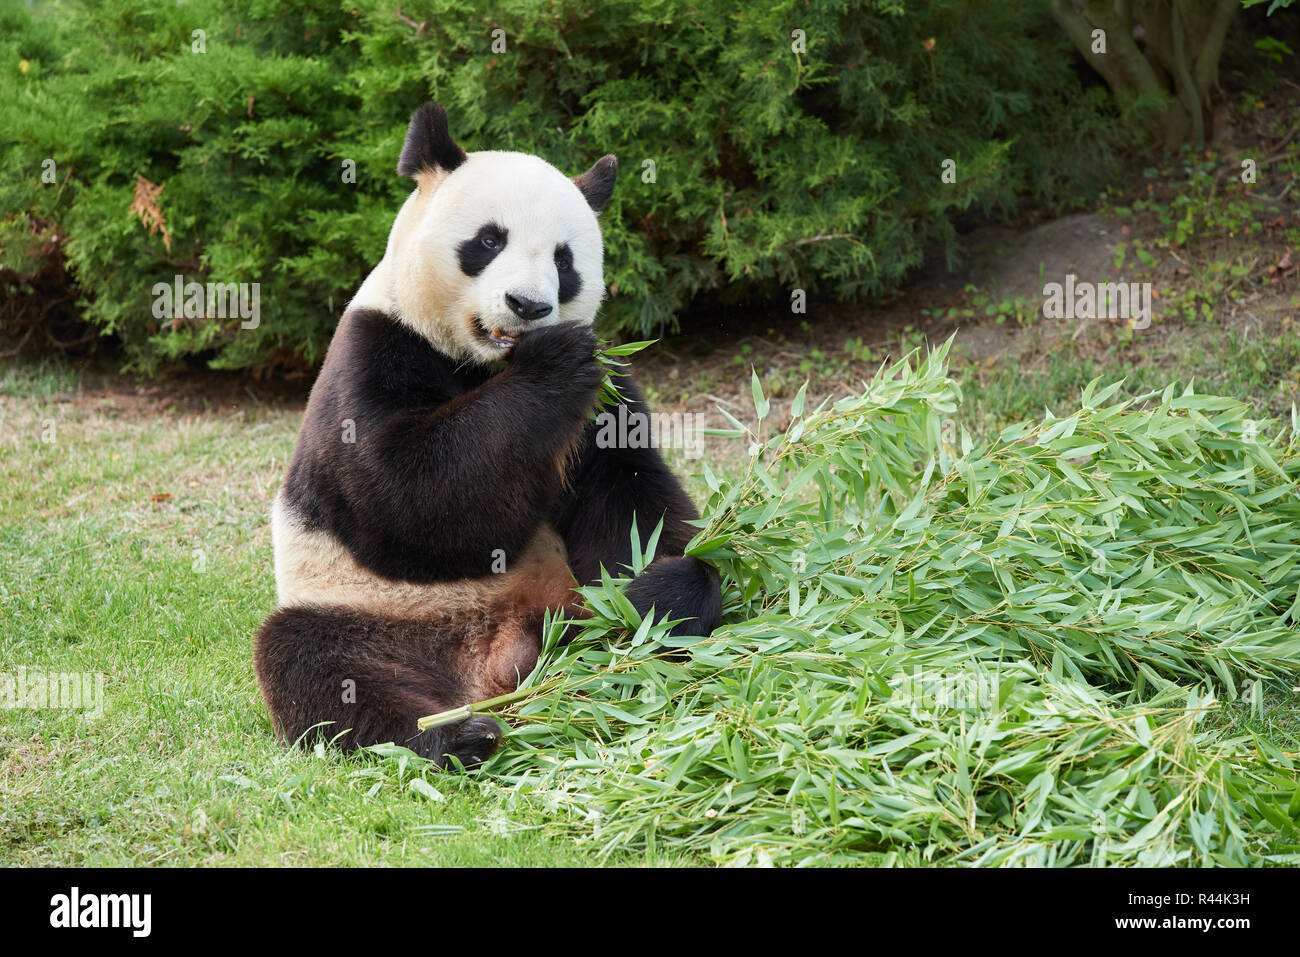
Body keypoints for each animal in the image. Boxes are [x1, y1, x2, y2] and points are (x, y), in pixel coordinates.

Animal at [253, 100, 722, 764]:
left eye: (563, 260)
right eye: (489, 240)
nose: (528, 306)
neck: (484, 362)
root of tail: (492, 669)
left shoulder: (608, 396)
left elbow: (629, 498)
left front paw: (658, 583)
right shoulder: (373, 351)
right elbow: (406, 500)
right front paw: (554, 363)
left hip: (558, 607)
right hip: (367, 613)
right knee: (318, 662)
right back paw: (451, 736)